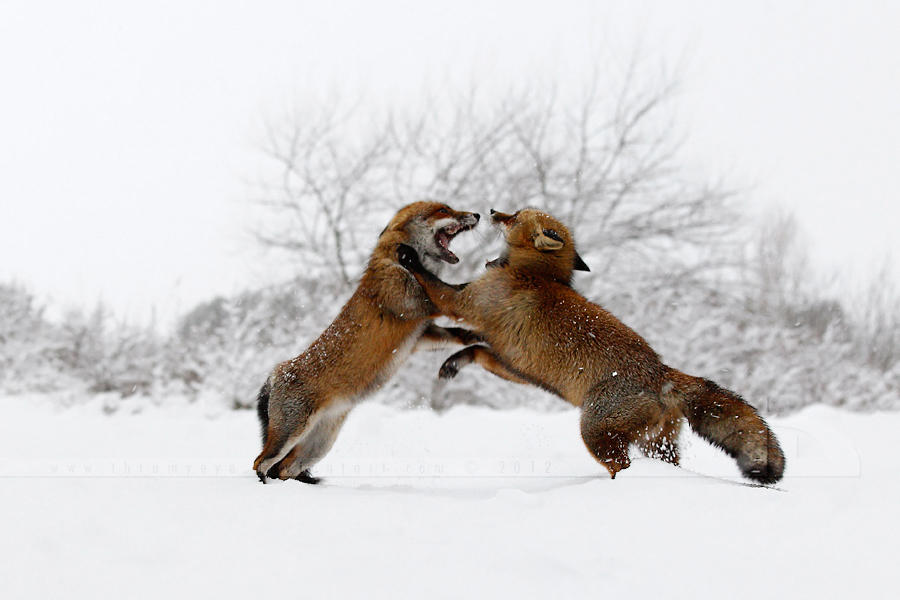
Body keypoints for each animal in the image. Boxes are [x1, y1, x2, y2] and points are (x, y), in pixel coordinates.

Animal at [253, 202, 478, 482]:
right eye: (443, 210)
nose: (477, 214)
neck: (395, 263)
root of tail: (277, 372)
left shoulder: (421, 336)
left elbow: (460, 333)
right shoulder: (419, 304)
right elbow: (457, 291)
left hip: (318, 445)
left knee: (285, 469)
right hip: (291, 433)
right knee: (261, 462)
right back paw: (263, 485)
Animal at [398, 209, 784, 486]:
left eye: (515, 215)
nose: (492, 210)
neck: (535, 274)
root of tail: (661, 372)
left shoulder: (465, 304)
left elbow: (434, 284)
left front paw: (409, 256)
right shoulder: (516, 365)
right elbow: (477, 349)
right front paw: (452, 362)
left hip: (596, 433)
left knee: (621, 466)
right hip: (656, 445)